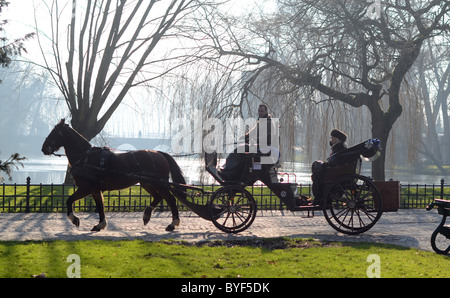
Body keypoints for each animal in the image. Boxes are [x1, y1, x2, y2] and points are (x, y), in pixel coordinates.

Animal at [40, 118, 185, 233]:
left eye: (54, 133)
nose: (43, 148)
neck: (86, 157)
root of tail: (159, 153)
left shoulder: (86, 188)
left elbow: (69, 200)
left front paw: (74, 219)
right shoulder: (95, 190)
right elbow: (100, 206)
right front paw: (100, 225)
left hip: (159, 184)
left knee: (170, 199)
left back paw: (172, 224)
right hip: (147, 183)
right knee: (158, 196)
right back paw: (147, 215)